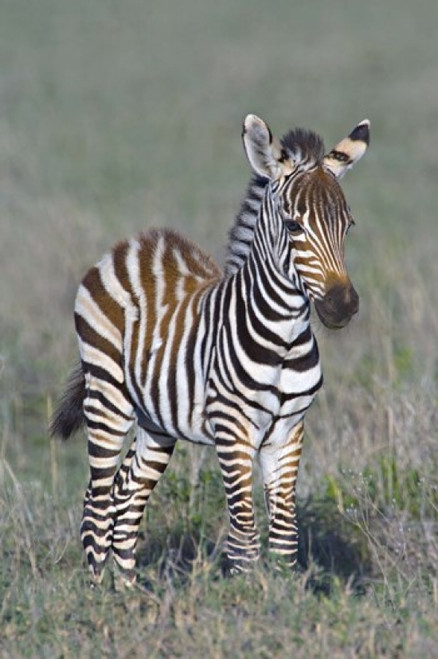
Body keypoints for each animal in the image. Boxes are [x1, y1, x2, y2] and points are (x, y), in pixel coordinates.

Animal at [51, 114, 369, 586]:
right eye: (294, 226)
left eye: (348, 225)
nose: (342, 306)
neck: (283, 339)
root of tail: (133, 245)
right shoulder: (232, 428)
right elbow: (244, 533)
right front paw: (247, 595)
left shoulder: (289, 430)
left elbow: (284, 535)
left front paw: (282, 595)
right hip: (107, 396)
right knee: (98, 500)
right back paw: (97, 596)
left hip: (157, 421)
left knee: (127, 496)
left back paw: (126, 592)